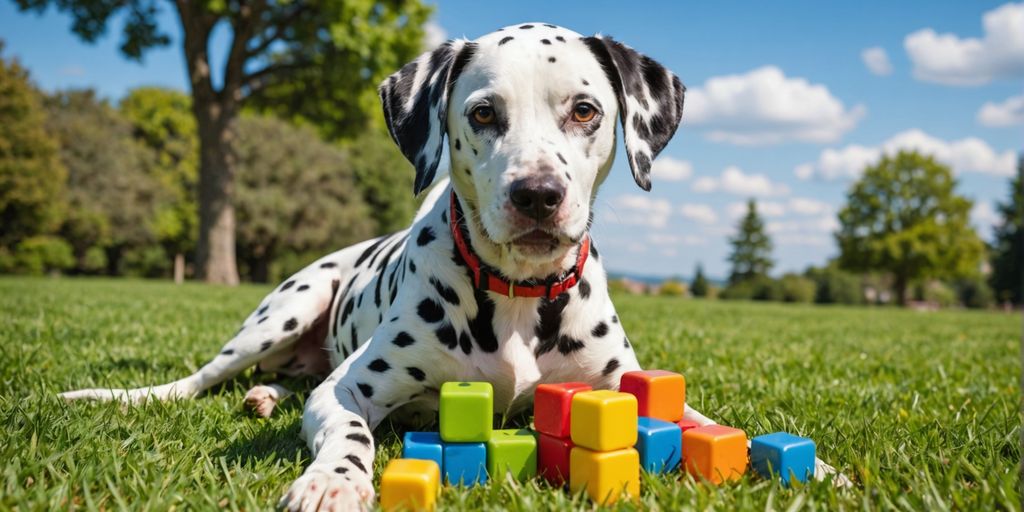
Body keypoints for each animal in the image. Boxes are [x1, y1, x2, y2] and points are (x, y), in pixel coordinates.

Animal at [59, 23, 851, 507]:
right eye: (483, 113)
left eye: (585, 110)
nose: (538, 195)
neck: (521, 296)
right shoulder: (350, 390)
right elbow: (348, 432)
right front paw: (333, 482)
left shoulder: (630, 387)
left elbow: (714, 423)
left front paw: (824, 470)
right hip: (281, 311)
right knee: (198, 381)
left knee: (285, 381)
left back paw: (264, 398)